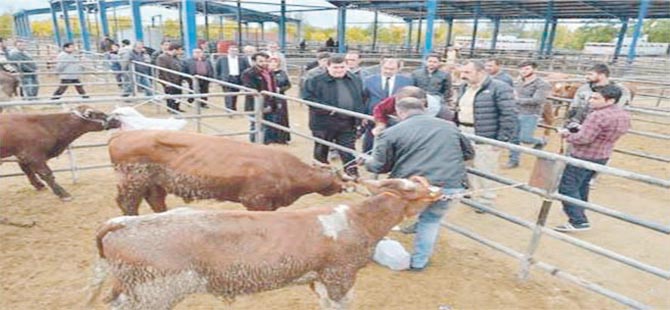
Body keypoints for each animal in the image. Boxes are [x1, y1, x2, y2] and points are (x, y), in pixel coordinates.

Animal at [88, 177, 446, 310]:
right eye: (413, 187)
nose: (440, 189)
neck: (356, 221)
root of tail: (122, 222)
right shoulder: (340, 276)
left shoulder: (318, 277)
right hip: (155, 292)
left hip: (132, 288)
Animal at [109, 130, 356, 214]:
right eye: (336, 177)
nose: (344, 186)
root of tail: (122, 134)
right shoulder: (255, 200)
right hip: (133, 180)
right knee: (127, 203)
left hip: (155, 182)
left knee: (155, 199)